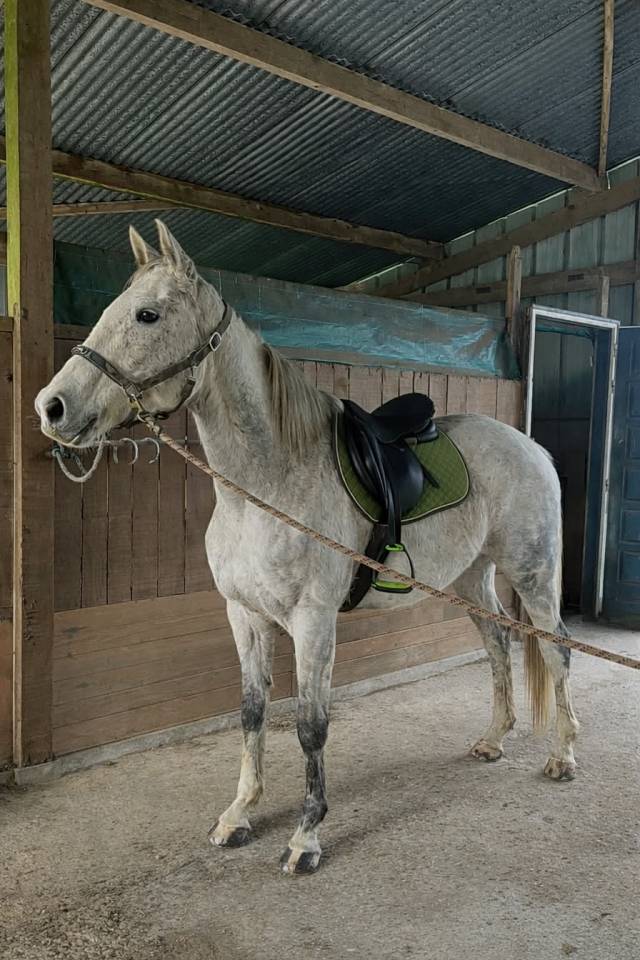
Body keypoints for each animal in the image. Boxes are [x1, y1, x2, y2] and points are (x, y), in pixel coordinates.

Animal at [36, 221, 578, 875]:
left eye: (147, 314)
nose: (52, 407)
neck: (265, 487)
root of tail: (530, 446)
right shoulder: (244, 616)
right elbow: (251, 714)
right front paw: (239, 815)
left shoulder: (313, 621)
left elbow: (310, 726)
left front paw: (306, 837)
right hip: (471, 578)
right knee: (498, 647)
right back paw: (493, 740)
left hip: (532, 572)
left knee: (556, 651)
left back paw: (563, 757)